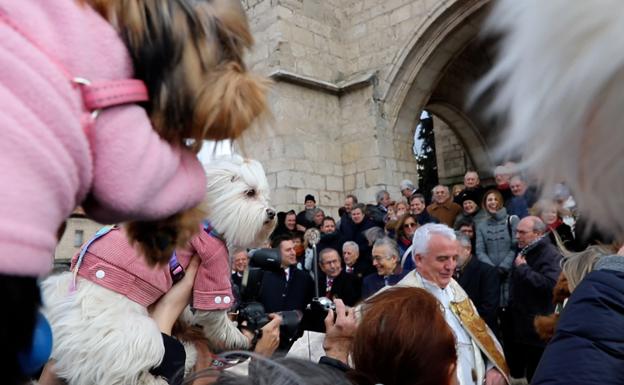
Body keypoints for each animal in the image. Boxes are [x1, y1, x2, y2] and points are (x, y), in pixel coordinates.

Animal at [41, 156, 276, 384]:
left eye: (264, 195)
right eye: (250, 192)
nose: (273, 212)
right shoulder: (212, 262)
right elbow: (215, 312)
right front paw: (236, 337)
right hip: (137, 337)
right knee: (132, 375)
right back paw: (181, 361)